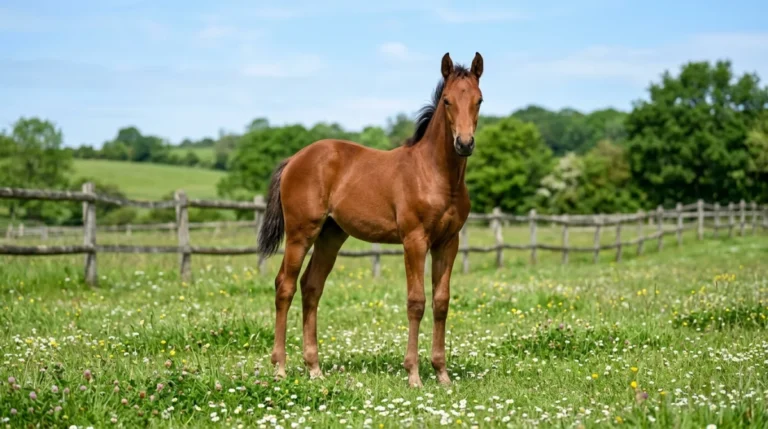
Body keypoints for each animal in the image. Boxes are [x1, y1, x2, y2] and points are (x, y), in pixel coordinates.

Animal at [257, 52, 484, 387]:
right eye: (447, 100)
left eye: (479, 100)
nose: (464, 143)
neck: (435, 174)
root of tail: (295, 159)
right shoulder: (414, 240)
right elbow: (416, 302)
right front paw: (413, 374)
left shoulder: (448, 242)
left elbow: (441, 302)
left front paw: (442, 374)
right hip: (301, 233)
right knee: (284, 285)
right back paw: (280, 367)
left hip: (330, 235)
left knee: (311, 286)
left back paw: (314, 368)